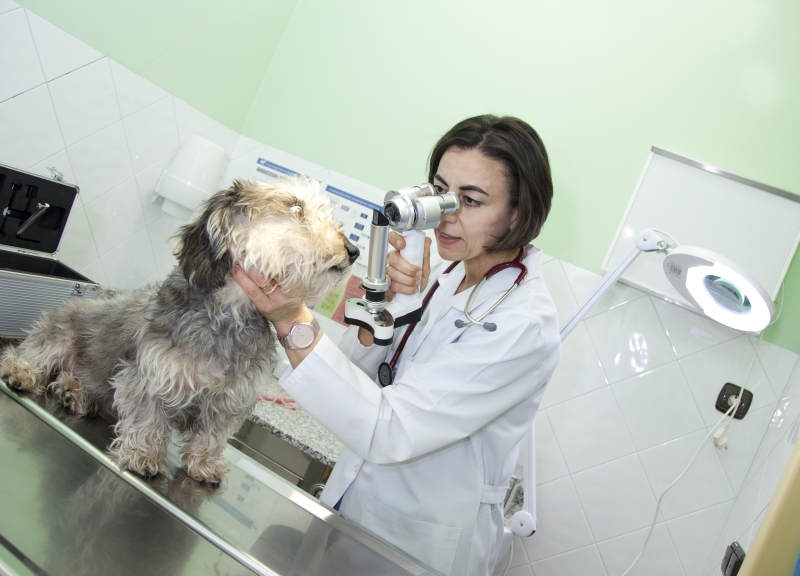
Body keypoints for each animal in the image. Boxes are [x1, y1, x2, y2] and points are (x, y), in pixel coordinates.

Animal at [0, 178, 356, 484]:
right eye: (295, 206)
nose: (353, 251)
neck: (227, 318)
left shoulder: (231, 399)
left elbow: (212, 435)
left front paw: (204, 464)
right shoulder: (148, 374)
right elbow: (147, 417)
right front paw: (143, 455)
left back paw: (76, 392)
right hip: (57, 333)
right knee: (28, 354)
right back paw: (23, 372)